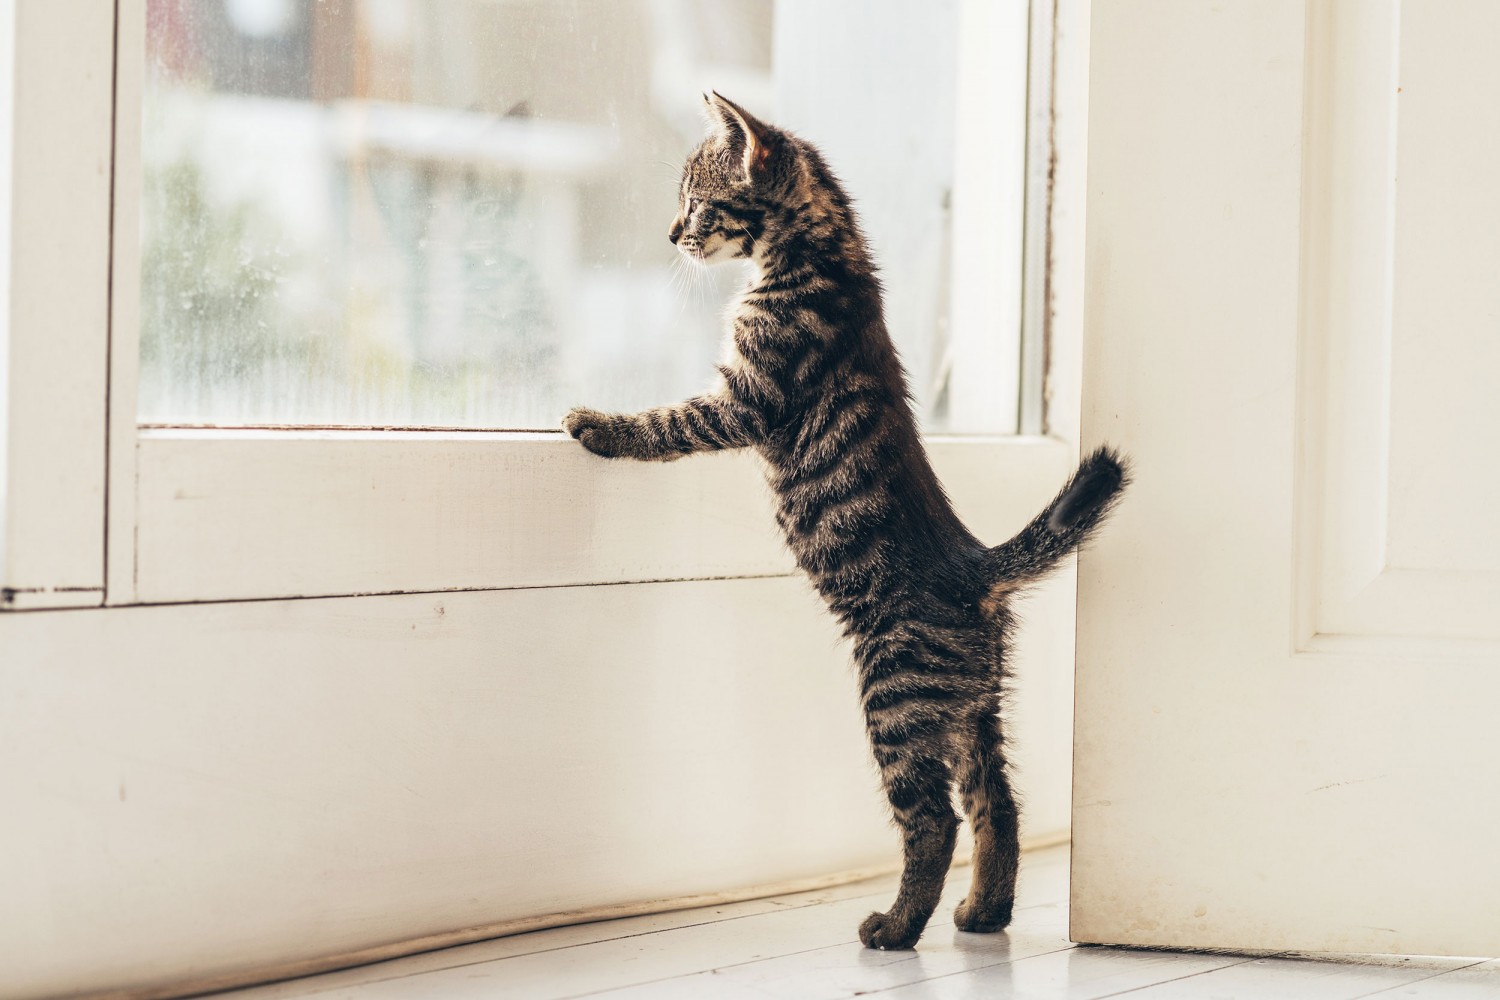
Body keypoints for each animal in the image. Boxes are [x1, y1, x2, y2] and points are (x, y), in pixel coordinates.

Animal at [564, 93, 1128, 953]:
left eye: (696, 200)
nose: (669, 234)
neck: (825, 254)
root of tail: (976, 567)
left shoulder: (748, 397)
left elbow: (669, 423)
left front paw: (599, 425)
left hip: (894, 697)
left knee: (933, 822)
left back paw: (896, 926)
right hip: (971, 710)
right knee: (998, 805)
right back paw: (983, 913)